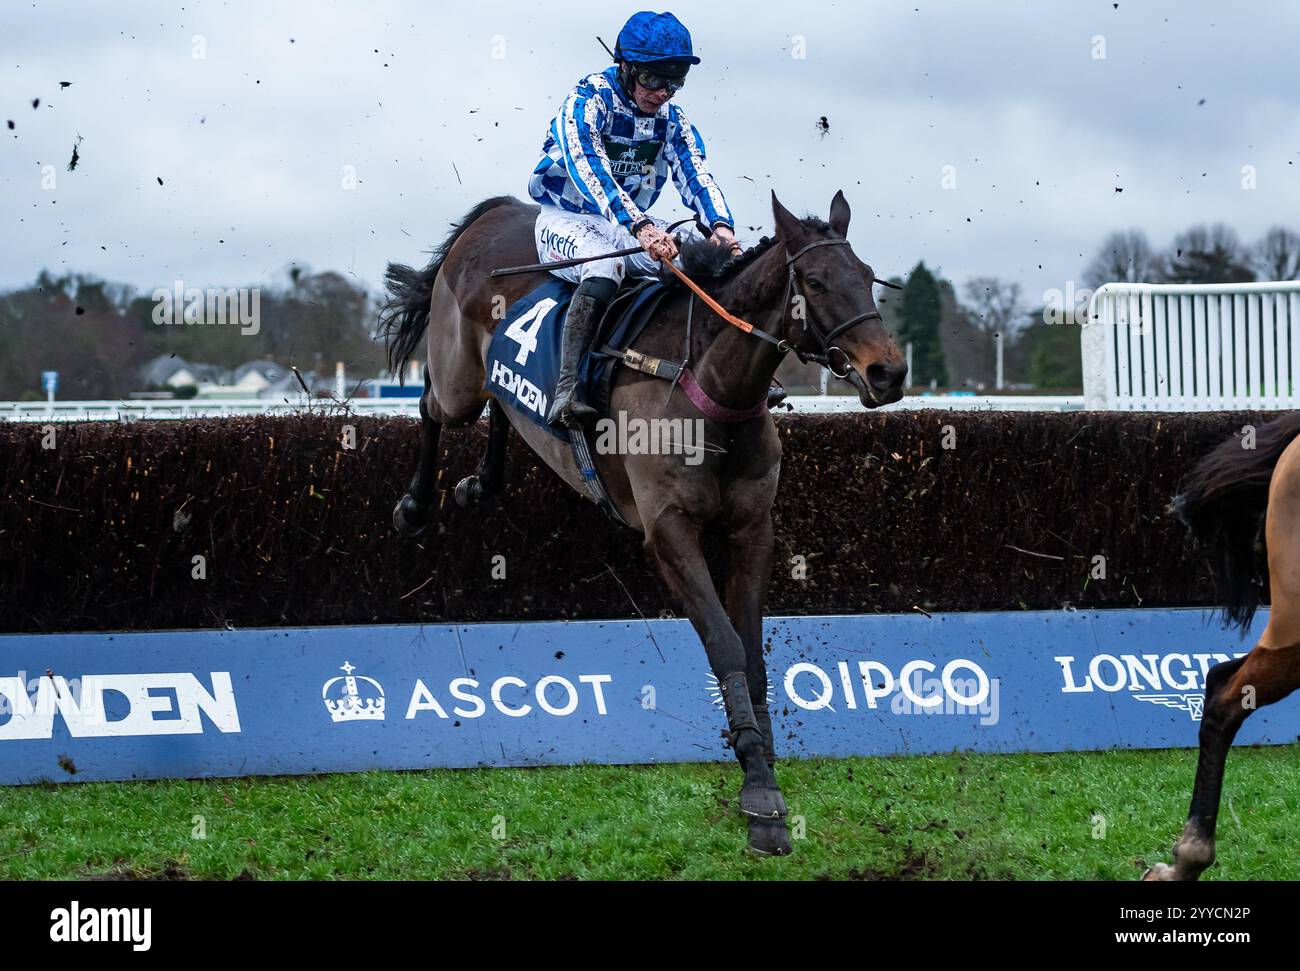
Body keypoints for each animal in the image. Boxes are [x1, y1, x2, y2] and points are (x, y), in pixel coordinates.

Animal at [377, 192, 904, 857]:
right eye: (813, 281)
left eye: (867, 275)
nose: (889, 373)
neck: (707, 385)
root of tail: (495, 215)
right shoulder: (670, 532)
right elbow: (724, 642)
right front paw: (759, 791)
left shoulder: (751, 529)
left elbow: (752, 650)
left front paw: (763, 765)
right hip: (458, 379)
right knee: (431, 403)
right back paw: (416, 507)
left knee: (501, 402)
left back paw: (482, 483)